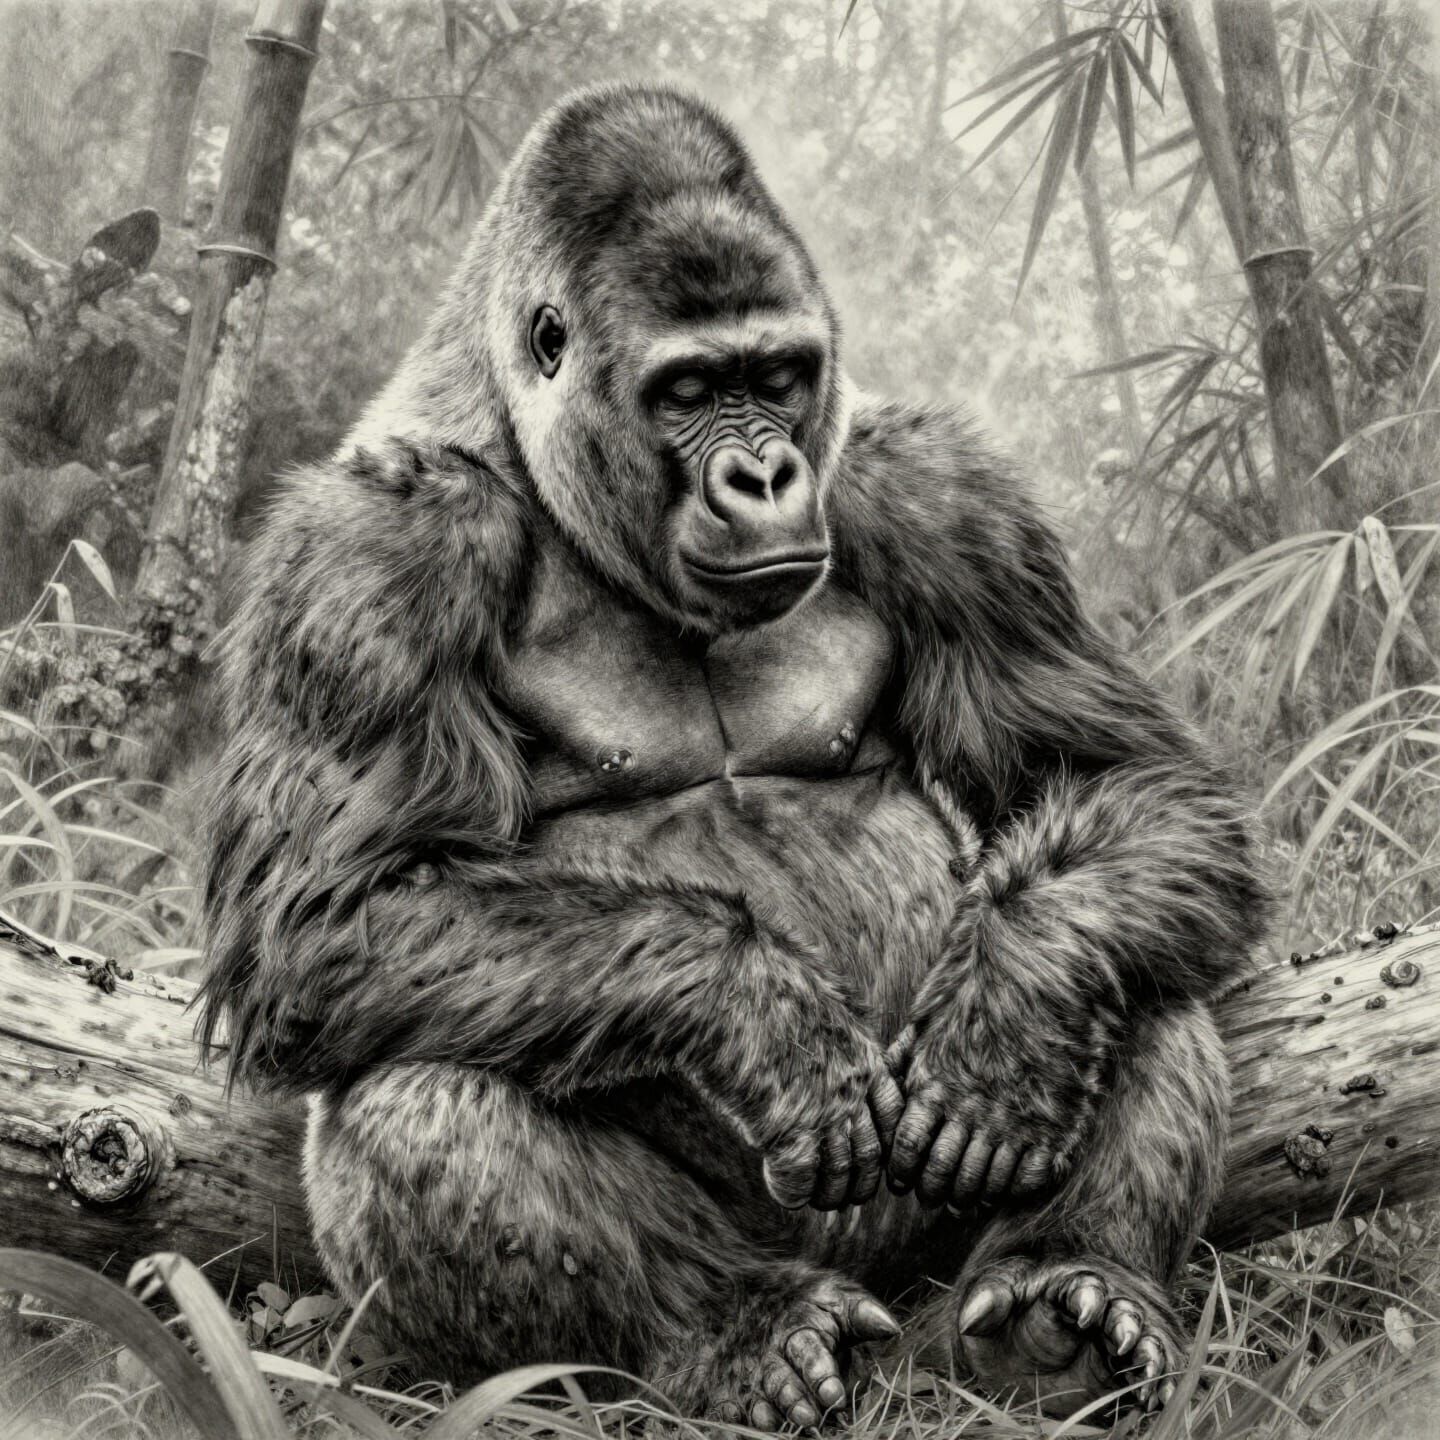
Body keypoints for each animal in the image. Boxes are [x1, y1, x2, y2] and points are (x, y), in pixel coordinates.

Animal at [199, 84, 1268, 1425]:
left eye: (780, 375)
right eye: (690, 389)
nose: (764, 472)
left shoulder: (941, 495)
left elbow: (1115, 782)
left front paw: (1011, 1013)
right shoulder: (366, 559)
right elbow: (325, 916)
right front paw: (760, 1015)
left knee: (1135, 962)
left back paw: (1060, 1300)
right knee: (415, 1093)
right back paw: (737, 1328)